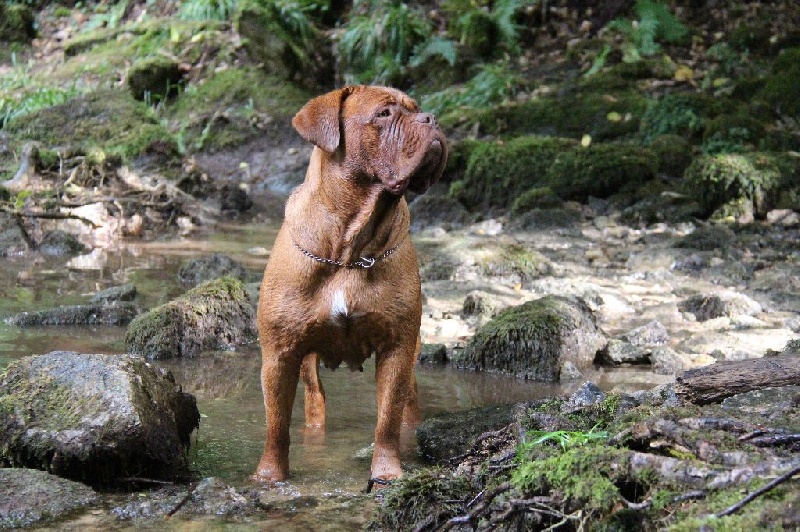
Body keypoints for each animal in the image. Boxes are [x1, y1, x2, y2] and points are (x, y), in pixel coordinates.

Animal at [255, 85, 446, 484]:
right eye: (384, 114)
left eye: (416, 109)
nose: (431, 119)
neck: (348, 249)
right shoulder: (280, 354)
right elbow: (276, 425)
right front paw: (269, 477)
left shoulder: (397, 348)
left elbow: (387, 421)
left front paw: (387, 472)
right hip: (306, 362)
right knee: (314, 400)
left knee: (407, 405)